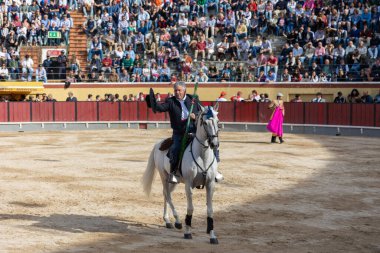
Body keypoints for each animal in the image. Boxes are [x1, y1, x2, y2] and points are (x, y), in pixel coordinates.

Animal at [142, 105, 220, 243]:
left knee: (166, 194)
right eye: (205, 122)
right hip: (164, 175)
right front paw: (187, 232)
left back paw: (167, 221)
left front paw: (212, 236)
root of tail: (158, 144)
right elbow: (190, 208)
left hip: (174, 181)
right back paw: (177, 221)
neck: (202, 155)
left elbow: (210, 210)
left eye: (218, 122)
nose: (214, 144)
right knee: (167, 194)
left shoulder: (210, 184)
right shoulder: (188, 184)